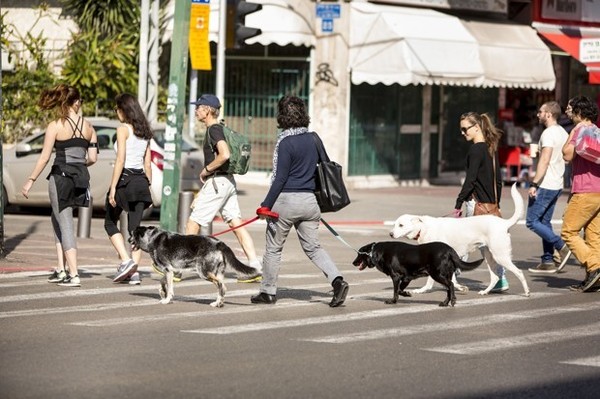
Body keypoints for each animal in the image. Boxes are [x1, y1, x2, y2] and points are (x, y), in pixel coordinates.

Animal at [130, 227, 262, 308]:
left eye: (132, 235)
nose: (128, 239)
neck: (152, 238)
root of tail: (219, 243)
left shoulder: (168, 269)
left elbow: (169, 288)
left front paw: (167, 299)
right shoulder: (171, 271)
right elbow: (162, 283)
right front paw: (163, 292)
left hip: (204, 272)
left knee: (221, 285)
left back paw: (217, 303)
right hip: (217, 272)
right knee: (222, 288)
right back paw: (218, 303)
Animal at [354, 242, 486, 308]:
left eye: (359, 254)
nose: (353, 262)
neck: (376, 251)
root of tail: (450, 250)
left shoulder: (396, 276)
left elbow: (396, 291)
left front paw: (393, 301)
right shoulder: (406, 278)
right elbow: (400, 289)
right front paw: (407, 294)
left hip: (437, 274)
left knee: (451, 285)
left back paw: (452, 301)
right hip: (444, 274)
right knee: (449, 288)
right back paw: (444, 303)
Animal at [392, 184, 528, 296]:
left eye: (401, 225)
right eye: (395, 224)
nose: (390, 234)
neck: (423, 228)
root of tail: (504, 223)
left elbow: (430, 282)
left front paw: (422, 290)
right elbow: (453, 279)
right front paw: (460, 287)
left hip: (500, 255)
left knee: (519, 272)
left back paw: (526, 292)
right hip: (489, 256)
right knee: (495, 277)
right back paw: (485, 291)